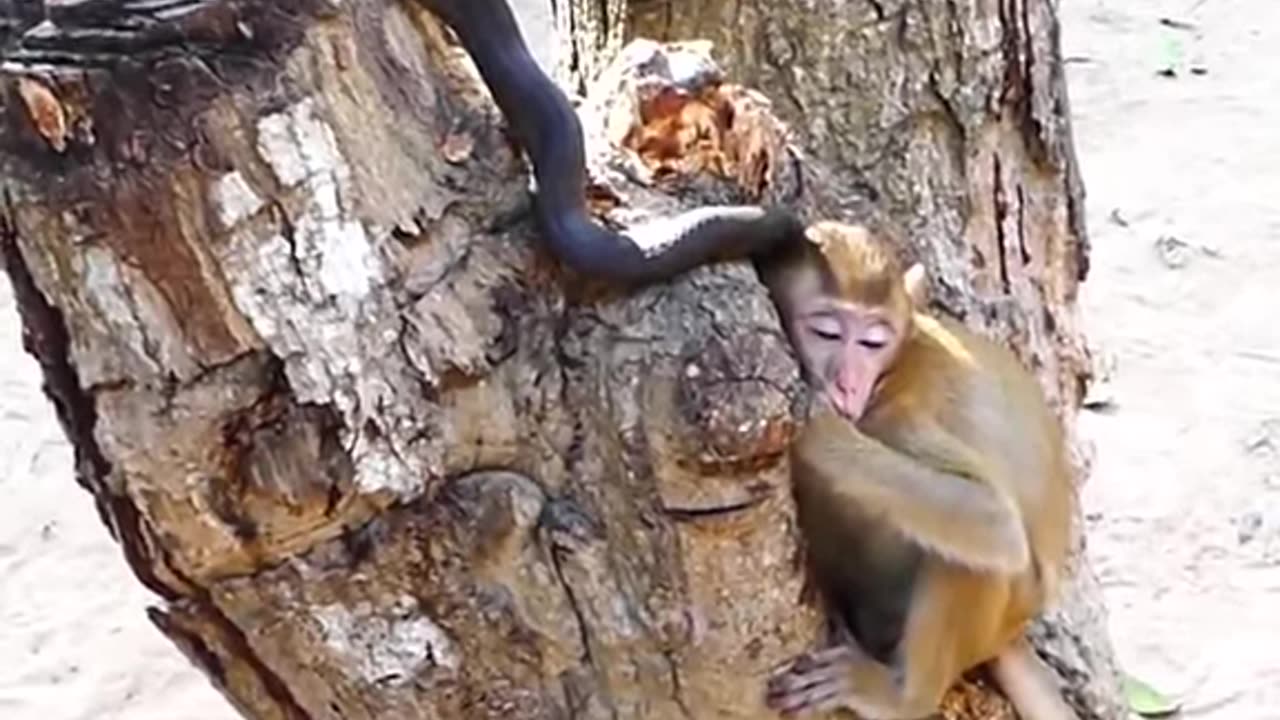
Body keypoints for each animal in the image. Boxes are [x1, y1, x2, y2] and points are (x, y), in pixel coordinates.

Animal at [756, 222, 1078, 720]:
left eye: (873, 341)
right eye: (827, 332)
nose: (848, 384)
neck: (893, 369)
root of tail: (1010, 633)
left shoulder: (903, 413)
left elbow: (994, 518)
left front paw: (822, 436)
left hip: (997, 611)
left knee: (971, 554)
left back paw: (902, 697)